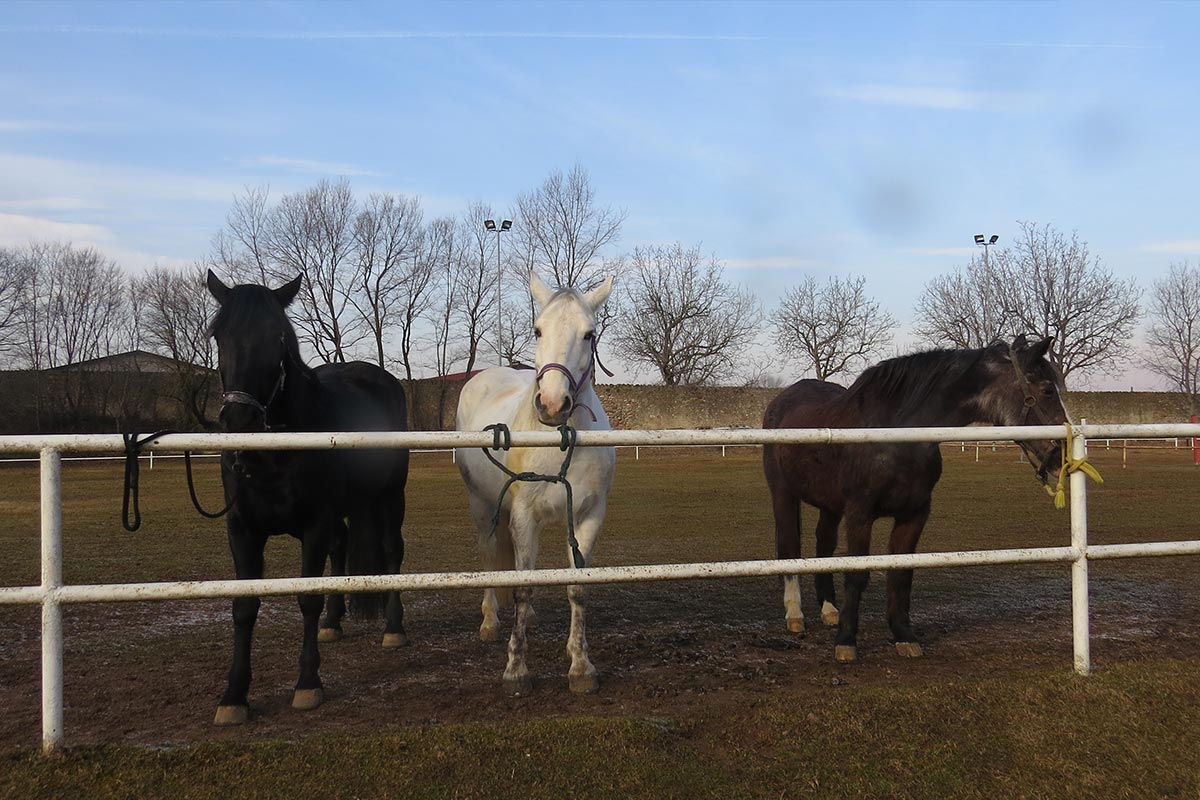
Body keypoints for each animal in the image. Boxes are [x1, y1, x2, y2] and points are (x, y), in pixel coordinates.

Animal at [207, 268, 412, 724]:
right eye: (218, 334)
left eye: (278, 337)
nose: (240, 420)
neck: (273, 455)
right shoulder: (242, 530)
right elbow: (244, 607)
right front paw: (233, 696)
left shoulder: (315, 524)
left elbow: (306, 598)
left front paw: (307, 683)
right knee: (342, 547)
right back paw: (333, 623)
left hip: (391, 497)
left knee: (391, 551)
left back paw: (393, 629)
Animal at [453, 273, 614, 695]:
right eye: (538, 329)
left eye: (589, 333)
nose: (553, 404)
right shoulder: (525, 517)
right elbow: (522, 586)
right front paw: (516, 669)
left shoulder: (589, 516)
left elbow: (577, 588)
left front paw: (580, 667)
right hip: (481, 506)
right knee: (490, 556)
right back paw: (491, 622)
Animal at [763, 333, 1065, 662]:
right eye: (1048, 390)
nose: (1060, 456)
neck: (897, 434)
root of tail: (781, 401)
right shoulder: (860, 512)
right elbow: (857, 574)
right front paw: (846, 642)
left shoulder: (915, 513)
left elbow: (901, 573)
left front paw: (903, 636)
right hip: (783, 494)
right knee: (789, 544)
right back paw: (795, 614)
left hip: (829, 505)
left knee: (824, 544)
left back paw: (829, 610)